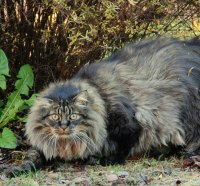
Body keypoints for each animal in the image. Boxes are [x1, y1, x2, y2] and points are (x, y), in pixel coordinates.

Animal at [1, 37, 200, 177]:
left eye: (73, 116)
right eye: (55, 117)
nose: (64, 126)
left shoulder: (130, 126)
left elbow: (116, 151)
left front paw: (96, 159)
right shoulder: (42, 146)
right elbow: (31, 158)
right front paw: (15, 170)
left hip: (187, 113)